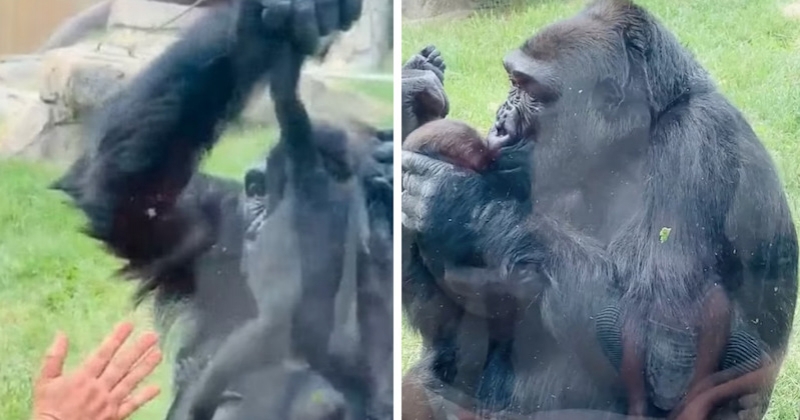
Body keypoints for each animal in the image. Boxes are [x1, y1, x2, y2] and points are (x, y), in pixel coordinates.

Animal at [404, 0, 796, 420]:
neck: (629, 142)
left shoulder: (696, 144)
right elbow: (456, 330)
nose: (499, 124)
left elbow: (668, 350)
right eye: (513, 82)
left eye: (530, 91)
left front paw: (460, 201)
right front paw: (414, 100)